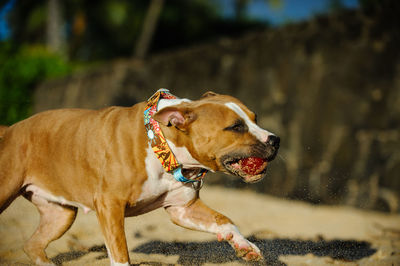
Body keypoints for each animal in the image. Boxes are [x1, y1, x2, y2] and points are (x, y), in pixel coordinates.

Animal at [0, 91, 280, 264]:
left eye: (255, 118)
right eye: (236, 127)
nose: (275, 139)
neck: (162, 142)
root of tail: (10, 130)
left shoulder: (184, 209)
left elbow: (225, 221)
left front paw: (244, 245)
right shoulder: (110, 205)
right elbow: (120, 253)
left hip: (60, 214)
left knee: (32, 245)